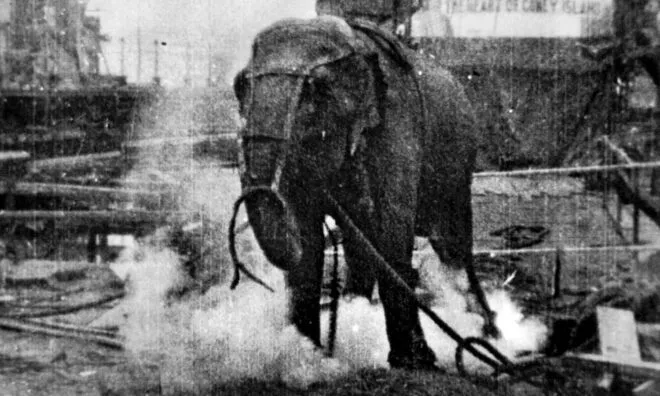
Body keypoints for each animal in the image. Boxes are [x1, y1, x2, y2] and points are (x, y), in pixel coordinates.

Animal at [235, 14, 498, 368]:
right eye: (240, 86)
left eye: (315, 89)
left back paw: (488, 336)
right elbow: (309, 240)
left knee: (452, 245)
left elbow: (390, 232)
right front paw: (306, 356)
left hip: (458, 166)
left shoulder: (398, 123)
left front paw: (414, 361)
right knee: (359, 244)